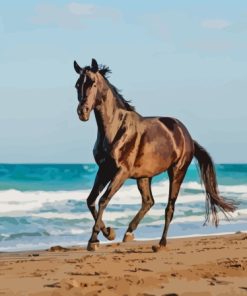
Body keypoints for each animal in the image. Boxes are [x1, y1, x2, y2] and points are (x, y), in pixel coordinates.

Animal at [73, 58, 235, 252]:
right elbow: (91, 200)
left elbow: (103, 200)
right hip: (144, 176)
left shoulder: (121, 172)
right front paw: (107, 233)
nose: (82, 112)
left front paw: (94, 240)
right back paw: (129, 233)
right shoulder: (104, 169)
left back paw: (161, 243)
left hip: (177, 172)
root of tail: (187, 136)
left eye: (93, 83)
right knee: (149, 201)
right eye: (77, 85)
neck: (115, 129)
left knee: (169, 208)